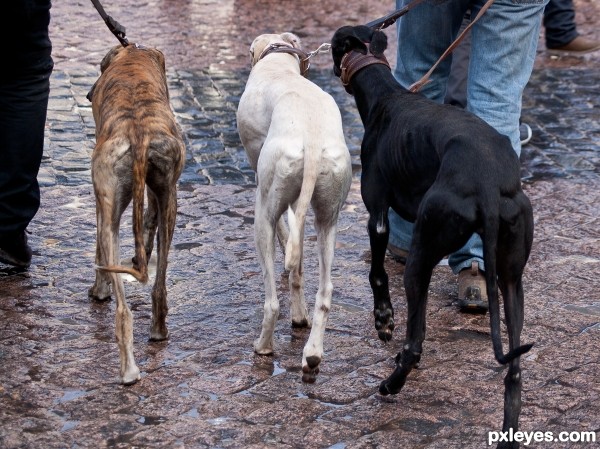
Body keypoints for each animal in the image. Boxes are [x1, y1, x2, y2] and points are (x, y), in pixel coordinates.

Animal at [87, 44, 185, 382]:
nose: (89, 95)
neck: (132, 54)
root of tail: (139, 133)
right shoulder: (157, 196)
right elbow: (147, 224)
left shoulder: (100, 200)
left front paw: (99, 290)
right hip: (170, 198)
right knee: (159, 286)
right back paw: (158, 332)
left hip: (109, 210)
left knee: (122, 309)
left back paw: (128, 370)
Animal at [237, 33, 354, 382]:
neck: (277, 65)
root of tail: (312, 139)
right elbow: (298, 261)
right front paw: (300, 316)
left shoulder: (263, 181)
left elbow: (284, 235)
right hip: (328, 217)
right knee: (325, 291)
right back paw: (312, 354)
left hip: (263, 212)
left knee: (272, 302)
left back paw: (263, 346)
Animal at [332, 25, 536, 444]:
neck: (385, 95)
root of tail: (488, 182)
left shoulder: (377, 213)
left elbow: (377, 275)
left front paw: (383, 319)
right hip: (511, 278)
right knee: (515, 371)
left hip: (423, 252)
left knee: (415, 342)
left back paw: (391, 384)